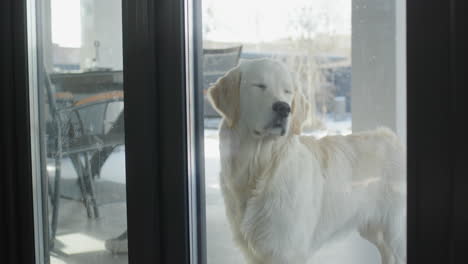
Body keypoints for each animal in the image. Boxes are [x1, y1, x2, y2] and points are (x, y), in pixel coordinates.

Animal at [208, 58, 406, 262]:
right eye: (259, 85)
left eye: (287, 91)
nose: (283, 108)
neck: (261, 167)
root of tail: (393, 138)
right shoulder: (255, 254)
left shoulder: (287, 252)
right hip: (374, 230)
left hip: (397, 234)